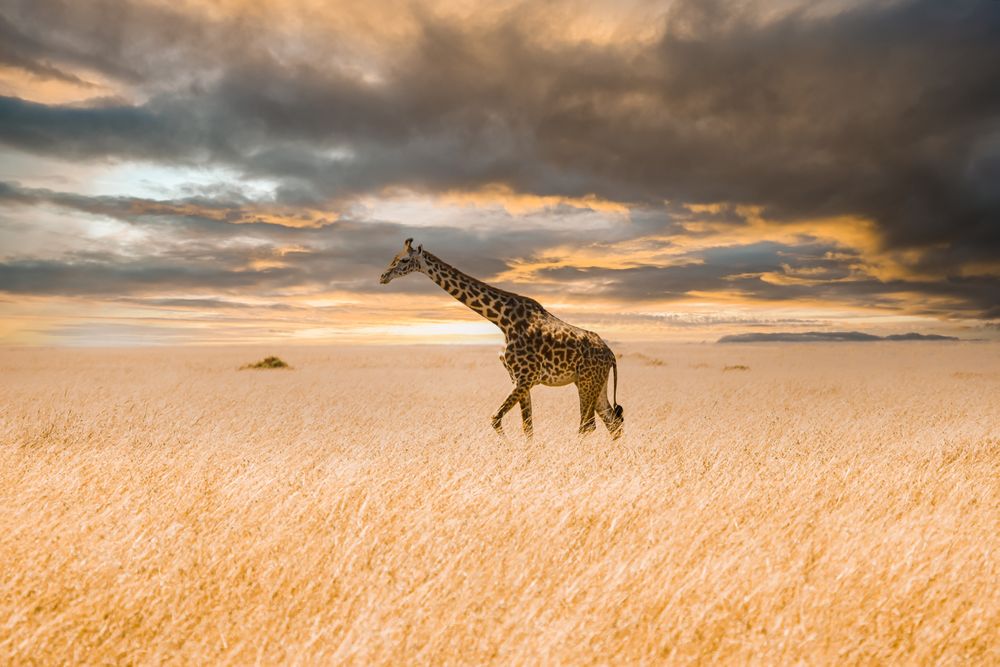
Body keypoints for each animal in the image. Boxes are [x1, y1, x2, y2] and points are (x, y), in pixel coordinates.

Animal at [380, 239, 624, 439]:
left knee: (588, 425)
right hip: (595, 383)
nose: (383, 276)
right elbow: (527, 428)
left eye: (403, 260)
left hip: (587, 381)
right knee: (613, 422)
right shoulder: (518, 379)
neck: (502, 320)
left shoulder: (526, 378)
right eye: (393, 258)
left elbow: (495, 419)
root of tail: (611, 354)